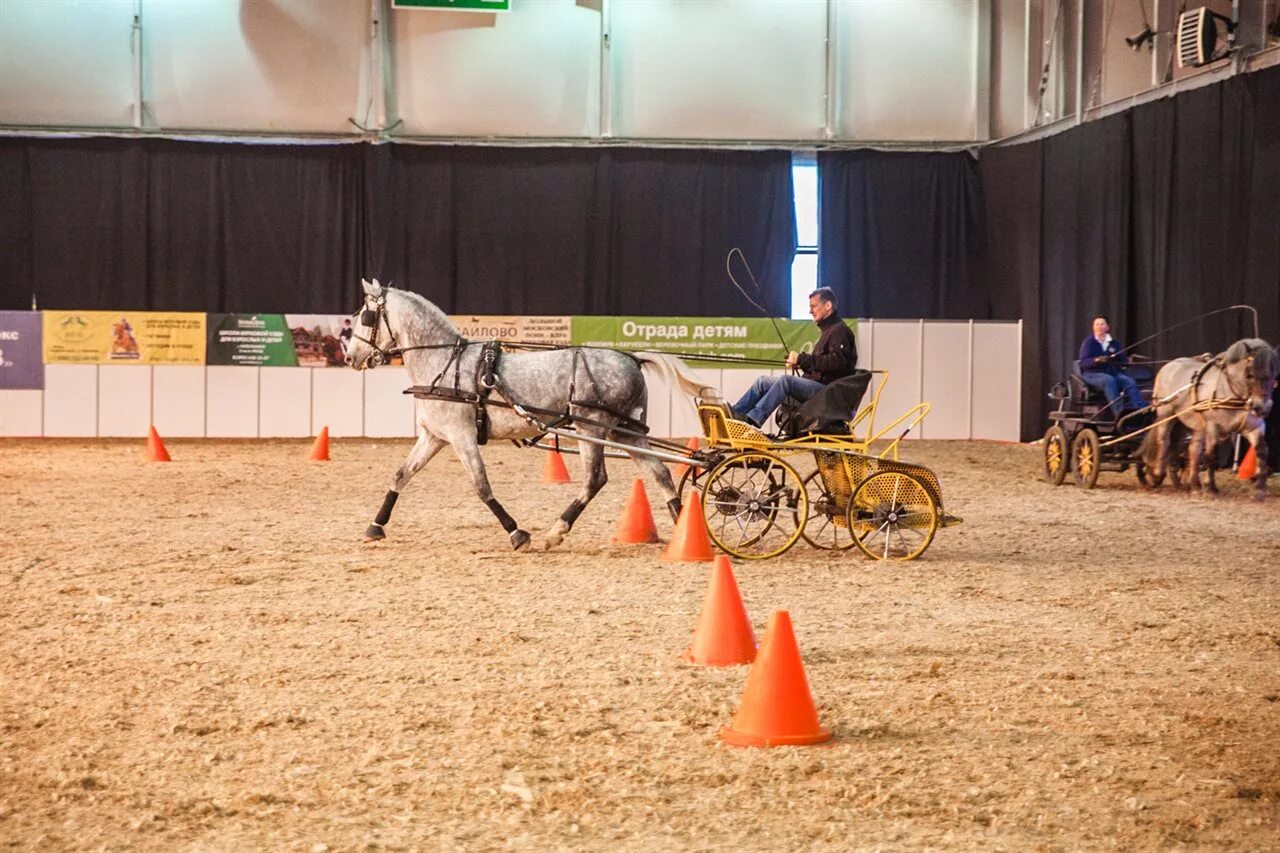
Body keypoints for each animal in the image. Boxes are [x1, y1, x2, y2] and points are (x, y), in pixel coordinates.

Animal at [345, 275, 716, 548]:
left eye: (365, 316)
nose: (350, 356)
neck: (444, 363)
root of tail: (632, 358)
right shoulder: (435, 436)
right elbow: (400, 475)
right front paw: (375, 526)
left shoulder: (461, 436)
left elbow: (481, 486)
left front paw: (517, 533)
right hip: (625, 430)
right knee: (661, 472)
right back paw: (682, 525)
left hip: (592, 427)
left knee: (595, 479)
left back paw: (557, 530)